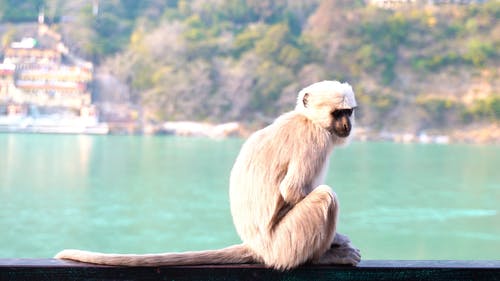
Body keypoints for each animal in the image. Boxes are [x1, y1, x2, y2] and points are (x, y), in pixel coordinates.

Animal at [55, 80, 360, 270]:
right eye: (339, 113)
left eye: (349, 112)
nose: (347, 125)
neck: (307, 120)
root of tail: (257, 247)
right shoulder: (315, 140)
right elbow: (293, 190)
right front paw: (338, 240)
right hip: (286, 245)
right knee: (325, 195)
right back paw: (322, 258)